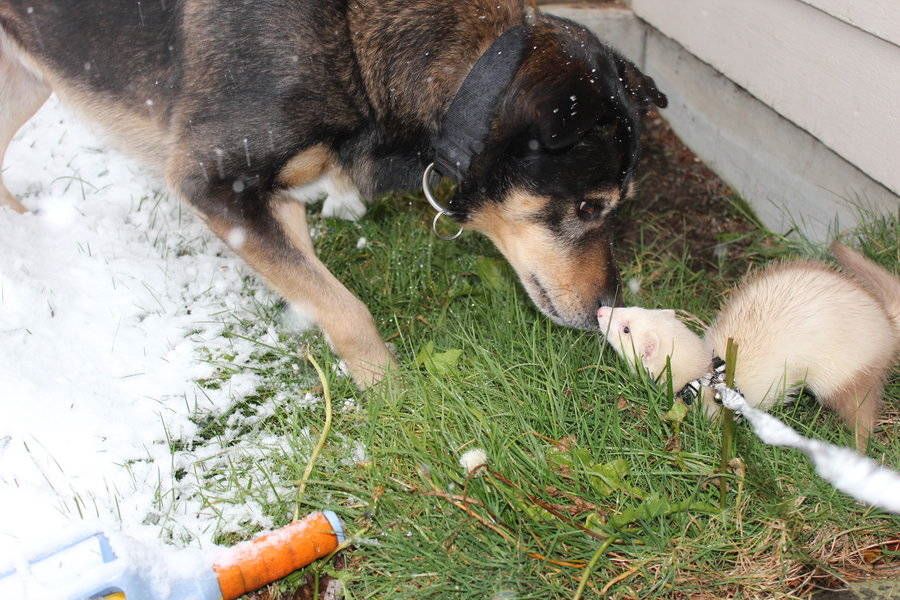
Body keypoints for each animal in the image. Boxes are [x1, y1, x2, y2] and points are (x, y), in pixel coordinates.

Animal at [0, 1, 660, 390]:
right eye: (590, 207)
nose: (607, 308)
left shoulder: (278, 197)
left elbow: (316, 289)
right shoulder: (217, 185)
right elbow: (346, 308)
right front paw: (390, 393)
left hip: (23, 79)